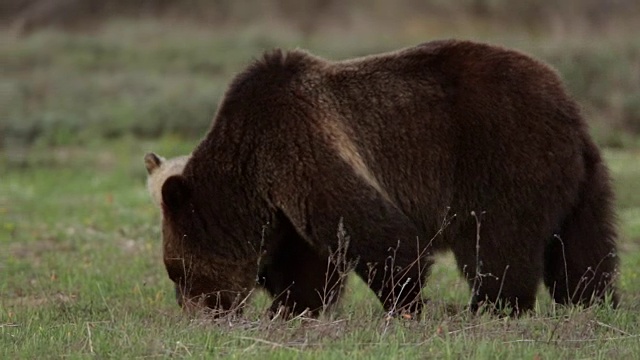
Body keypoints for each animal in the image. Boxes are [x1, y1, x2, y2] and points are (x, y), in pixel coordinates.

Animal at [156, 38, 620, 318]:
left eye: (176, 272)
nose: (195, 312)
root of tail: (571, 110)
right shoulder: (288, 197)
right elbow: (310, 264)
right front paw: (292, 308)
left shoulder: (302, 144)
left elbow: (379, 236)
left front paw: (406, 303)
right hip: (581, 183)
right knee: (585, 250)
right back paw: (594, 303)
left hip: (505, 156)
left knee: (497, 245)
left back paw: (492, 306)